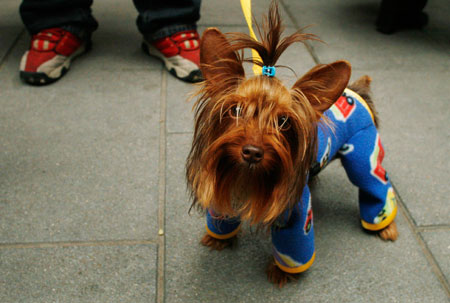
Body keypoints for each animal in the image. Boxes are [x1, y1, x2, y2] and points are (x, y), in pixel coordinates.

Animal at [185, 1, 398, 288]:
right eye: (236, 110)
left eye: (284, 121)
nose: (252, 152)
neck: (249, 177)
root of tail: (356, 91)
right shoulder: (222, 177)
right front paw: (219, 237)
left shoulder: (295, 210)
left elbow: (294, 245)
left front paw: (283, 271)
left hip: (363, 153)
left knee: (375, 182)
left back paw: (384, 225)